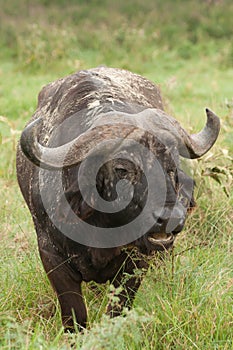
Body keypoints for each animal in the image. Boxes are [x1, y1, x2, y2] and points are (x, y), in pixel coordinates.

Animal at [16, 66, 220, 330]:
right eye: (122, 169)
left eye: (172, 165)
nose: (170, 218)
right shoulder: (52, 257)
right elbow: (75, 315)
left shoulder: (136, 263)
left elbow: (118, 310)